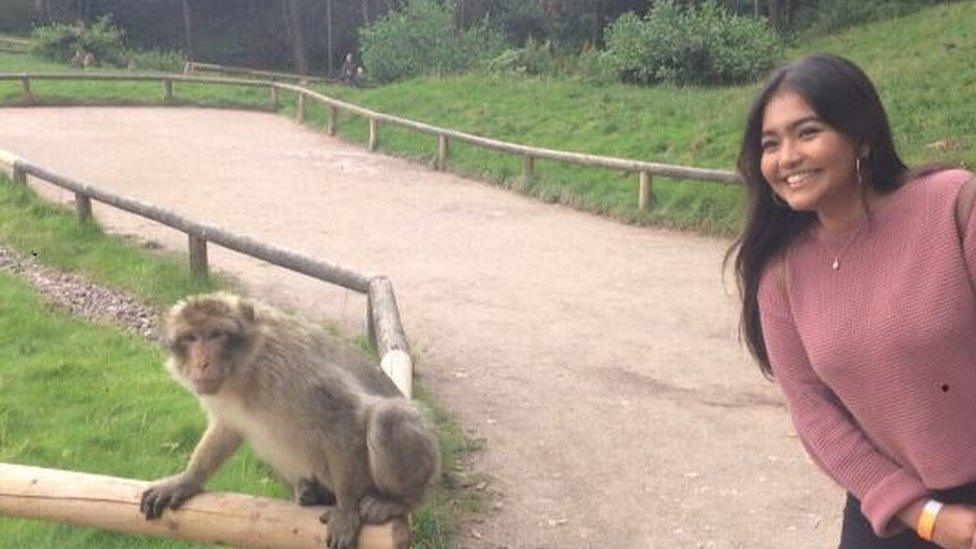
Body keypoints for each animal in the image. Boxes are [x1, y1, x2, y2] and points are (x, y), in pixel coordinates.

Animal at [139, 294, 440, 544]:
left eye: (216, 335)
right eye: (190, 338)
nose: (202, 363)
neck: (245, 370)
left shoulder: (290, 369)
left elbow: (343, 418)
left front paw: (346, 510)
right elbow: (227, 430)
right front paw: (186, 481)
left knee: (387, 417)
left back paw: (399, 501)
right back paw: (312, 491)